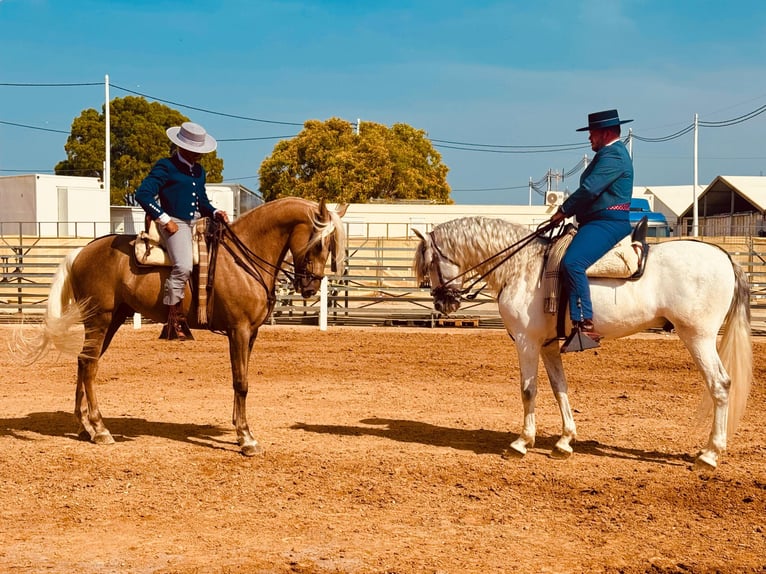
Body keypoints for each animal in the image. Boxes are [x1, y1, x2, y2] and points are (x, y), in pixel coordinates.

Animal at [14, 197, 346, 456]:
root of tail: (81, 252)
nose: (310, 286)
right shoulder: (239, 331)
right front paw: (246, 439)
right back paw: (100, 429)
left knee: (85, 363)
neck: (243, 258)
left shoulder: (250, 334)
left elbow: (240, 380)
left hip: (112, 321)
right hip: (101, 319)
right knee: (90, 366)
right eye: (319, 242)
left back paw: (86, 427)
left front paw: (240, 431)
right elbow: (241, 383)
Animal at [413, 216, 752, 470]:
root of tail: (724, 257)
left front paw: (522, 442)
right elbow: (559, 388)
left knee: (720, 385)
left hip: (698, 337)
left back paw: (709, 454)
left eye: (430, 263)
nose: (442, 303)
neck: (523, 268)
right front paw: (565, 441)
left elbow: (528, 390)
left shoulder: (526, 342)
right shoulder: (548, 345)